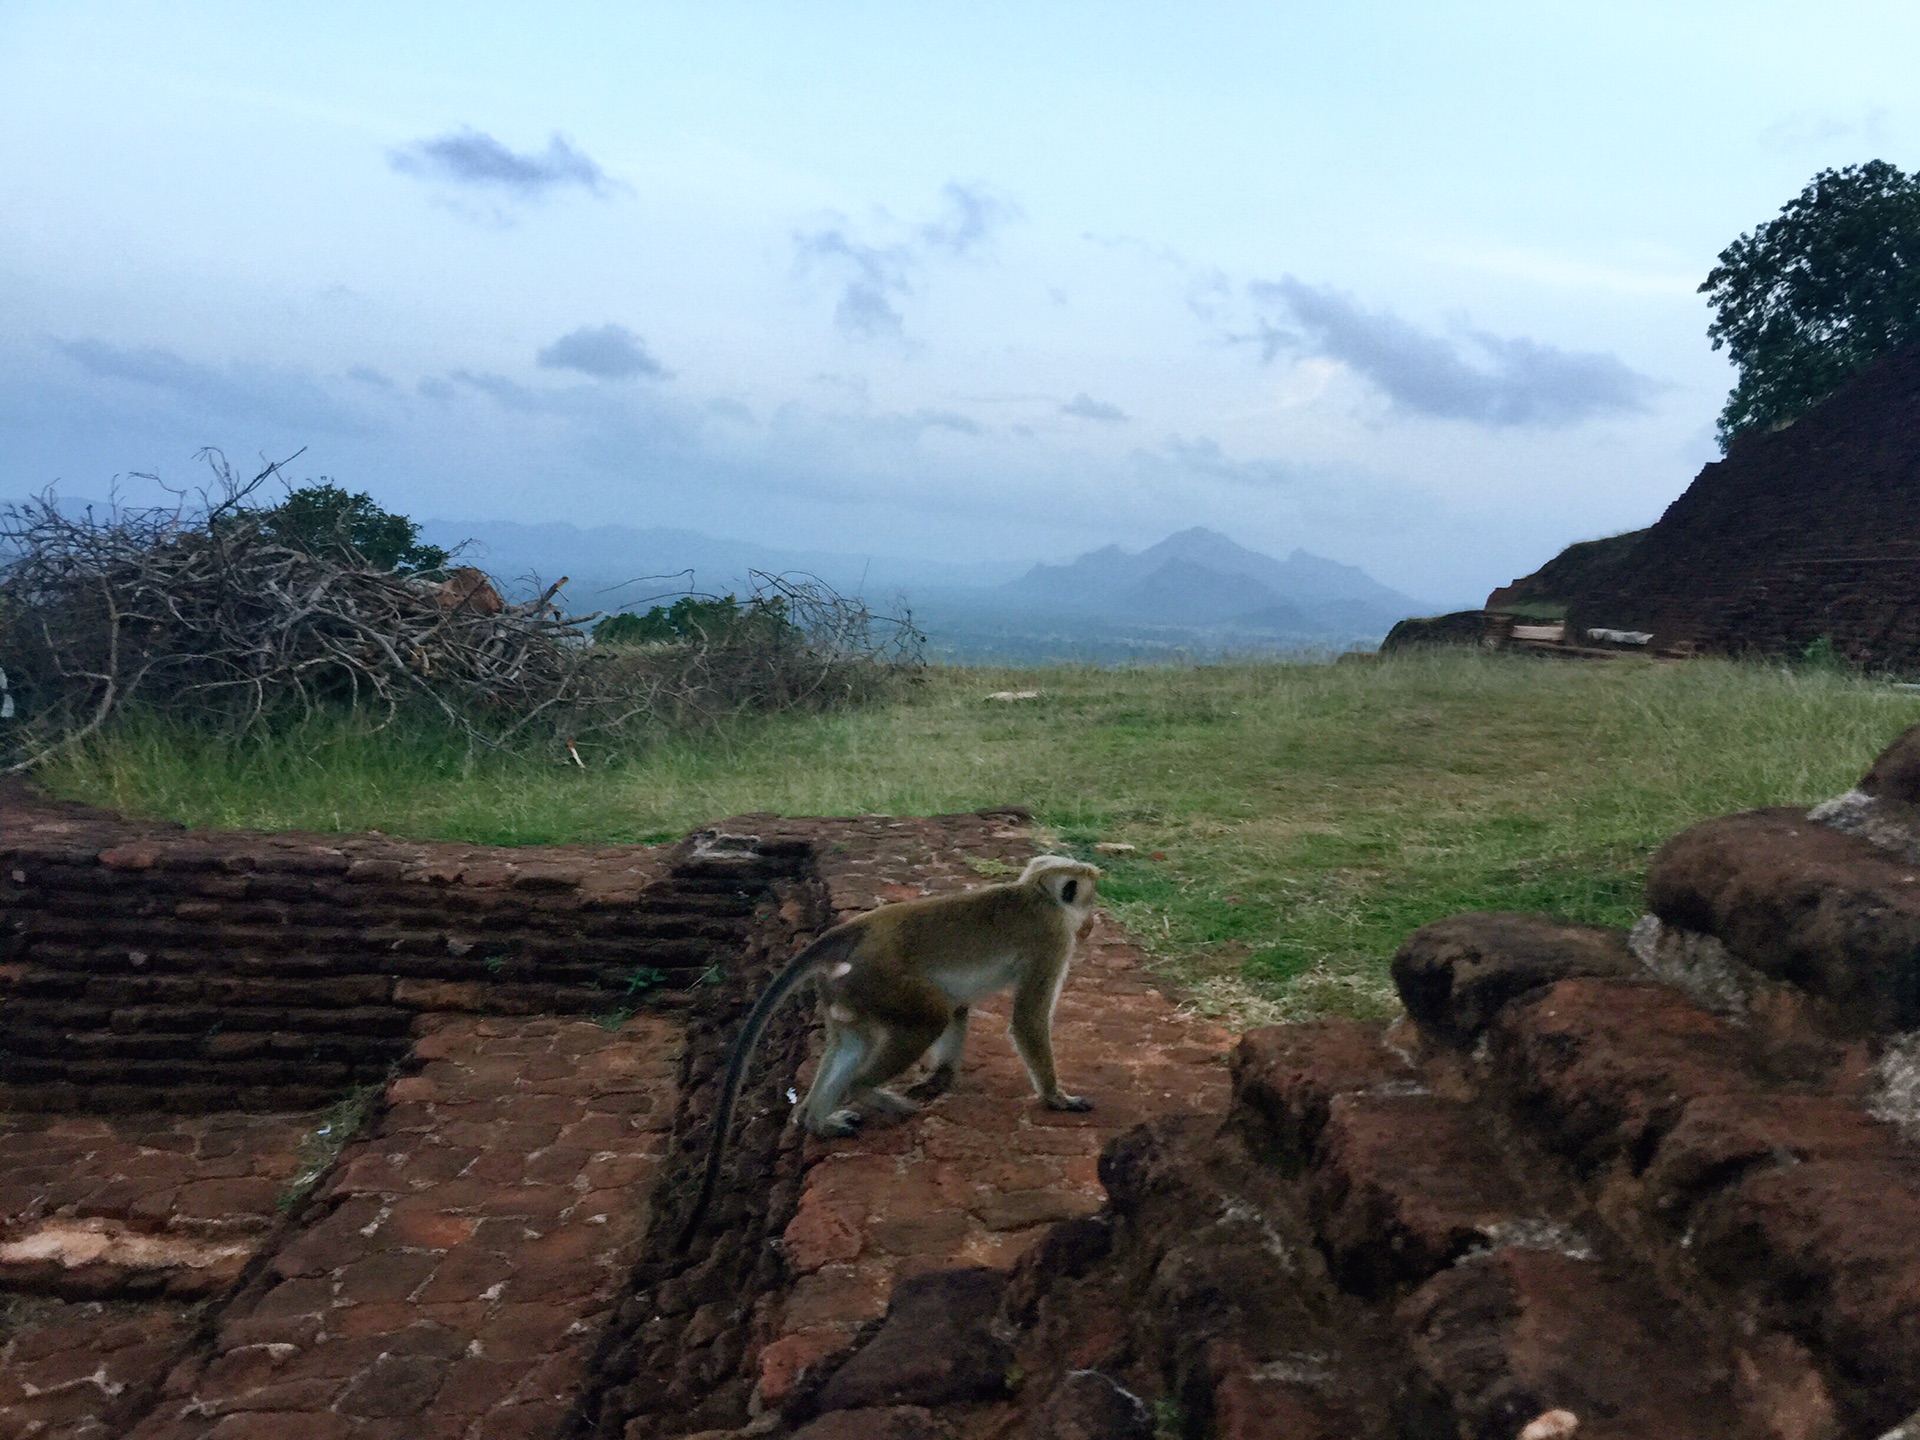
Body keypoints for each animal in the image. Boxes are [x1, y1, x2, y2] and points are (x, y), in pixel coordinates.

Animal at [675, 856, 1105, 1251]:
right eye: (1089, 893)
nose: (1091, 923)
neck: (1037, 892)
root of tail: (861, 927)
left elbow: (962, 1010)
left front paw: (939, 1079)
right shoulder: (1051, 938)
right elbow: (1026, 1020)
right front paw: (1057, 1098)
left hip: (844, 986)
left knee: (857, 1042)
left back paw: (816, 1119)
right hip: (880, 980)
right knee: (930, 1017)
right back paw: (865, 1092)